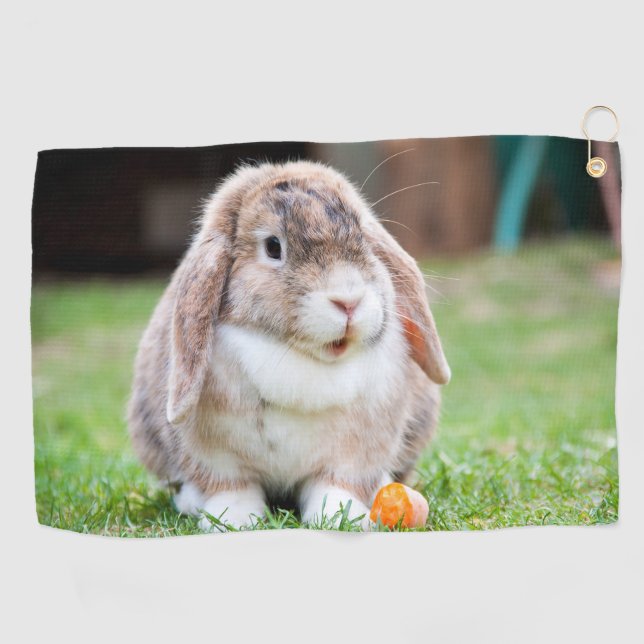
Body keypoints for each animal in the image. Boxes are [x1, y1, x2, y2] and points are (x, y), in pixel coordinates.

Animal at [128, 160, 450, 531]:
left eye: (364, 240)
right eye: (273, 247)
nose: (348, 300)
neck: (301, 357)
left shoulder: (353, 455)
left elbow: (336, 486)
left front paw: (340, 518)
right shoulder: (216, 457)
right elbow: (232, 487)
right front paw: (235, 520)